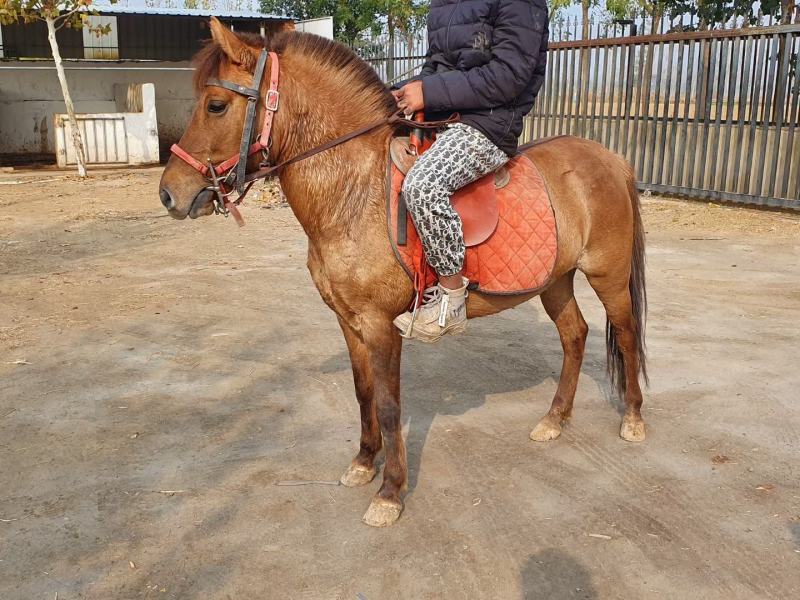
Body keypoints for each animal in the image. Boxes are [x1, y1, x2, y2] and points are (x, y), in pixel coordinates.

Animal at [158, 19, 648, 527]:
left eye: (216, 105)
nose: (169, 194)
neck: (354, 190)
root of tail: (611, 159)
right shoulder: (348, 321)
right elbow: (363, 393)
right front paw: (362, 463)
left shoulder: (380, 324)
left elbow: (391, 405)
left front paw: (390, 493)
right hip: (554, 280)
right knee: (575, 335)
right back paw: (554, 419)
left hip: (608, 276)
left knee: (627, 333)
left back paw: (632, 418)